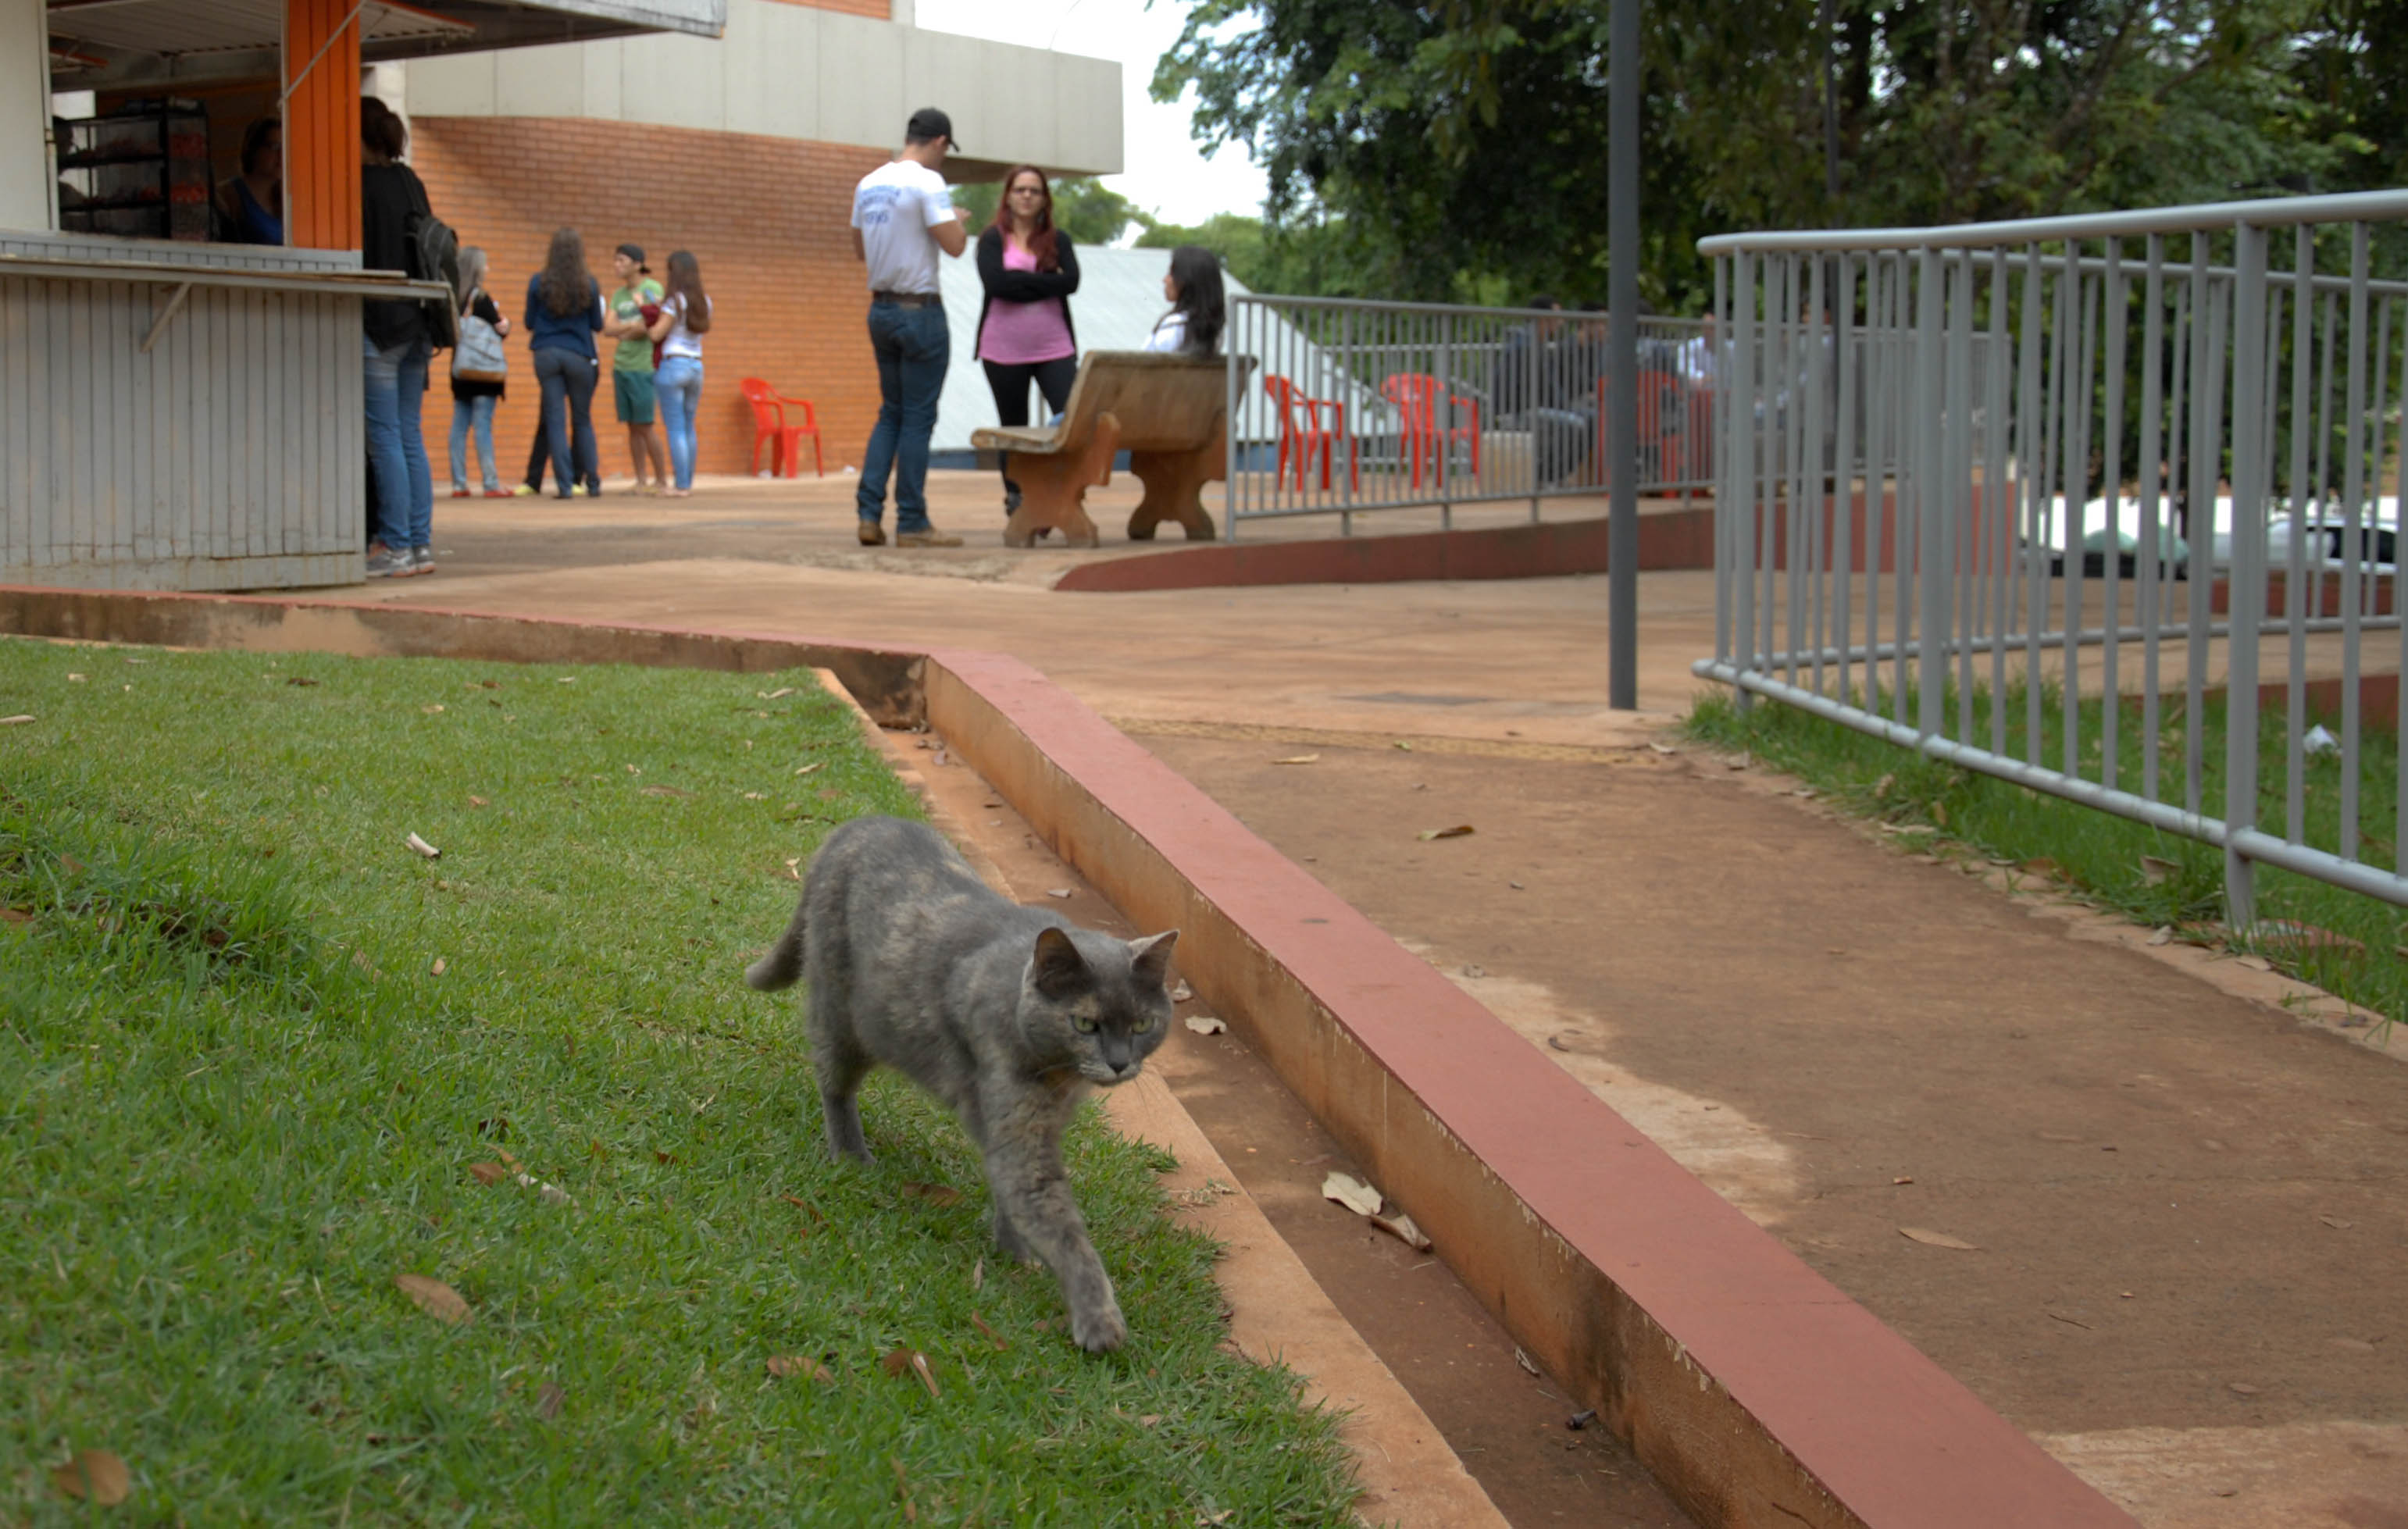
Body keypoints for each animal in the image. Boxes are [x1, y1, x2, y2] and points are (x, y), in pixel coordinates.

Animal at [741, 818, 1175, 1358]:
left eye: (1141, 1025)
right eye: (1085, 1024)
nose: (1118, 1063)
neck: (1060, 1075)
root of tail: (854, 827)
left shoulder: (1012, 1124)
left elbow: (1007, 1188)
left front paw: (1014, 1252)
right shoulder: (1018, 1122)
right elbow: (1058, 1221)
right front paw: (1100, 1321)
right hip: (843, 1014)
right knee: (833, 1082)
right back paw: (851, 1155)